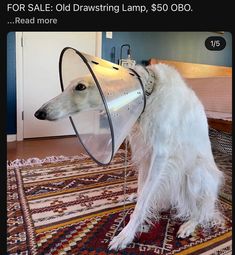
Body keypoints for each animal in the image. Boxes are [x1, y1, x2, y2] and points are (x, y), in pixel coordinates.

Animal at [34, 62, 223, 250]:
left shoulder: (160, 156)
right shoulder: (145, 153)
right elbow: (142, 190)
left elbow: (142, 203)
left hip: (194, 173)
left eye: (80, 87)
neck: (149, 92)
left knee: (202, 212)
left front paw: (126, 235)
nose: (39, 113)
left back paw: (189, 224)